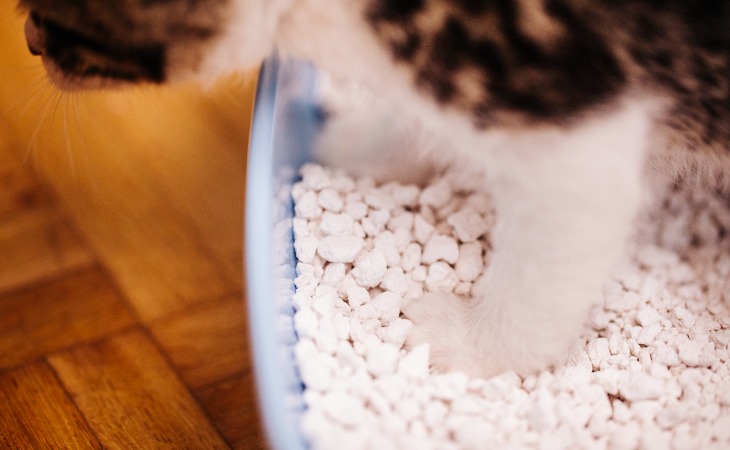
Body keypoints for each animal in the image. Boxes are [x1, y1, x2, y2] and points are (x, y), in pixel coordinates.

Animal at [18, 0, 728, 376]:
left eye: (49, 16)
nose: (26, 42)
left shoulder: (574, 129)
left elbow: (545, 268)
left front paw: (471, 344)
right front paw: (351, 146)